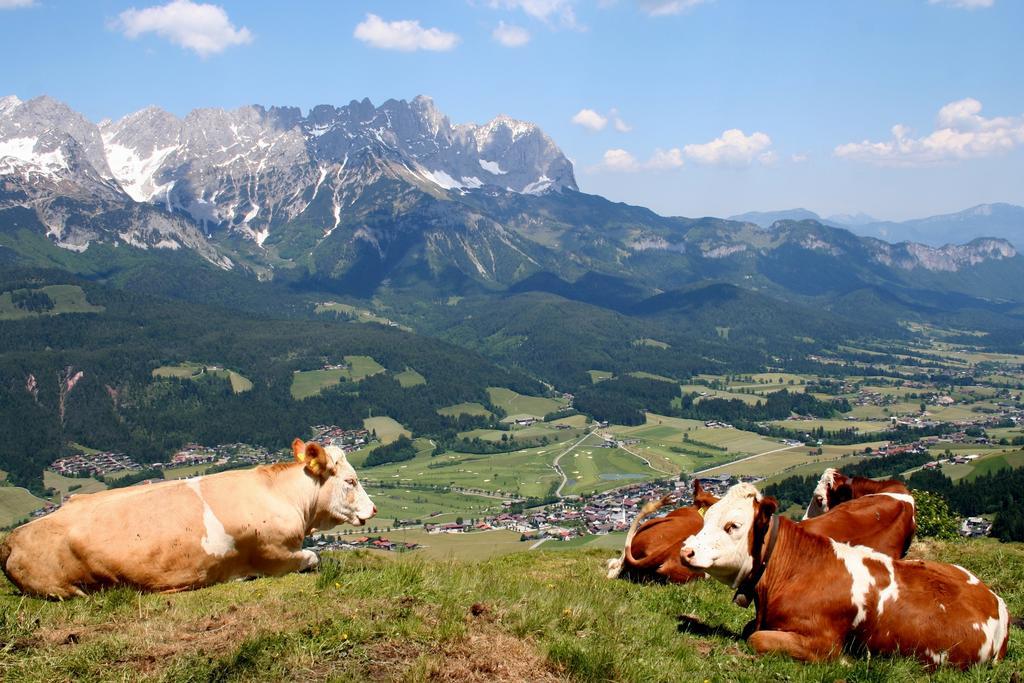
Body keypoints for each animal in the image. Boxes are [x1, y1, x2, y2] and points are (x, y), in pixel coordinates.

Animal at [0, 438, 376, 598]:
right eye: (350, 481)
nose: (372, 510)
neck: (281, 495)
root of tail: (14, 536)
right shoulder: (276, 555)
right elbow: (314, 557)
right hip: (64, 589)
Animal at [679, 483, 1007, 671]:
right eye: (707, 518)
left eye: (733, 525)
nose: (686, 551)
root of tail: (996, 603)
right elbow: (750, 629)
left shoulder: (821, 643)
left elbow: (755, 638)